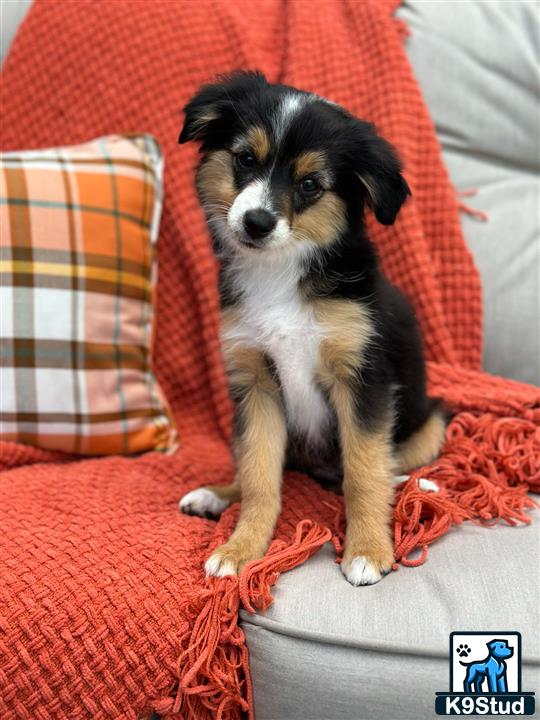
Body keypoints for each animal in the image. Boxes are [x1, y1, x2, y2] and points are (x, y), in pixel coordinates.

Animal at [179, 70, 446, 584]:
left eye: (309, 184)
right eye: (246, 158)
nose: (257, 222)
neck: (280, 271)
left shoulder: (362, 378)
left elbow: (364, 470)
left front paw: (368, 550)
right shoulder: (256, 382)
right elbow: (260, 476)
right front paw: (241, 548)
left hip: (432, 422)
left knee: (391, 463)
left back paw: (412, 485)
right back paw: (216, 494)